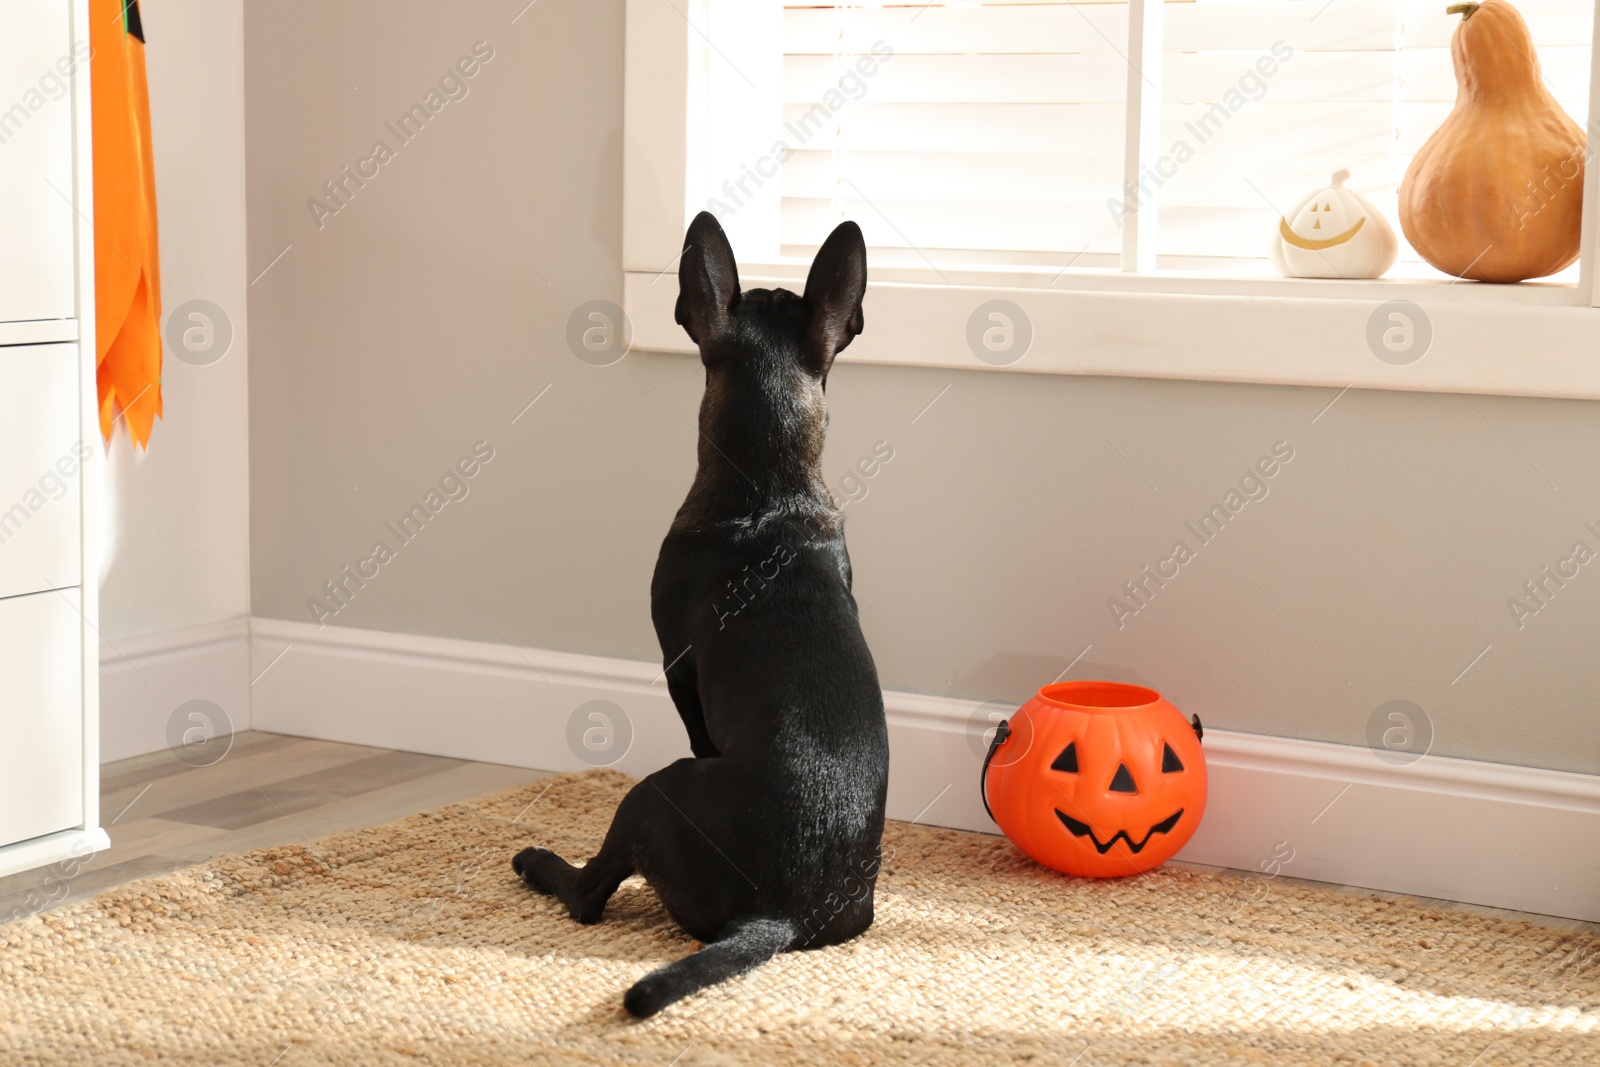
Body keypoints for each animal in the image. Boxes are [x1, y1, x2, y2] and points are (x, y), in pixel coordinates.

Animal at [512, 214, 889, 1017]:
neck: (767, 486)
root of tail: (780, 914)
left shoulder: (677, 670)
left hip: (652, 792)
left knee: (590, 894)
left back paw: (540, 862)